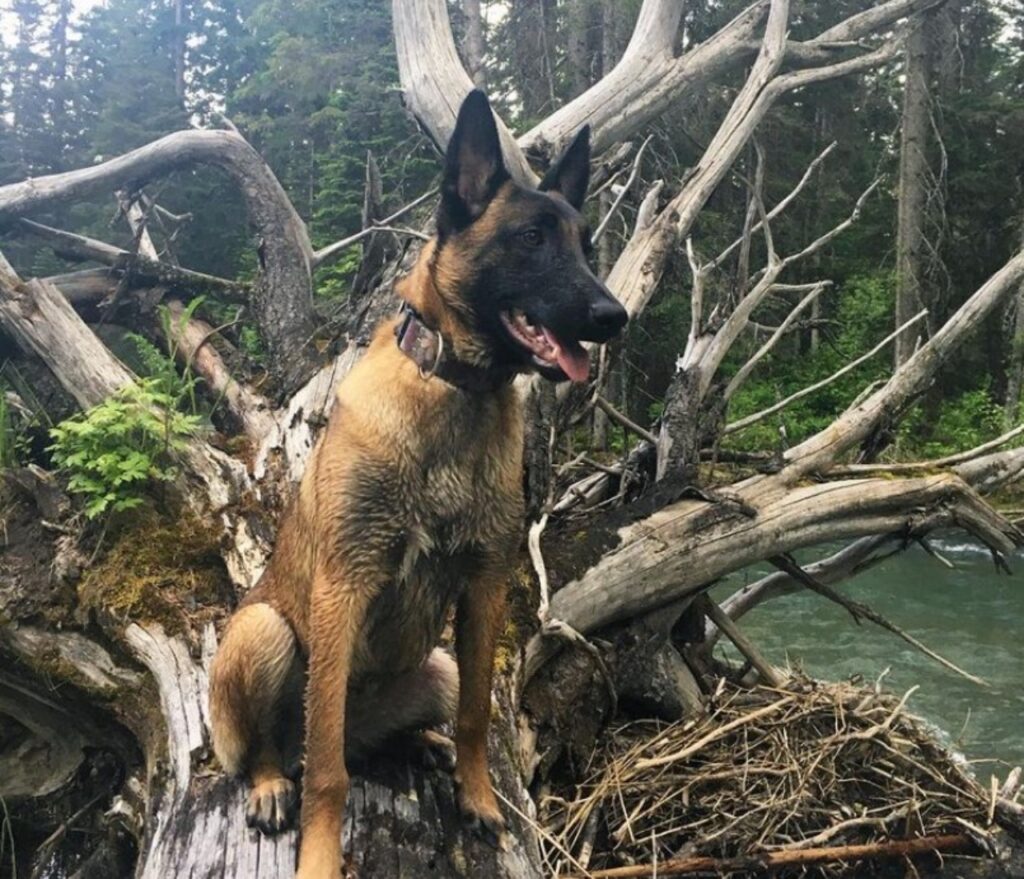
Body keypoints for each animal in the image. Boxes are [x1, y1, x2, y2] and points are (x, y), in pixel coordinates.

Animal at [206, 92, 622, 872]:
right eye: (530, 238)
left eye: (585, 246)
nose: (615, 315)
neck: (457, 395)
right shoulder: (344, 586)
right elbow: (329, 773)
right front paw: (319, 854)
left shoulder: (485, 586)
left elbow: (476, 718)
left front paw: (479, 796)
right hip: (264, 632)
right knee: (284, 748)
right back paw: (274, 781)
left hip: (438, 666)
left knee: (379, 737)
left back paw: (421, 745)